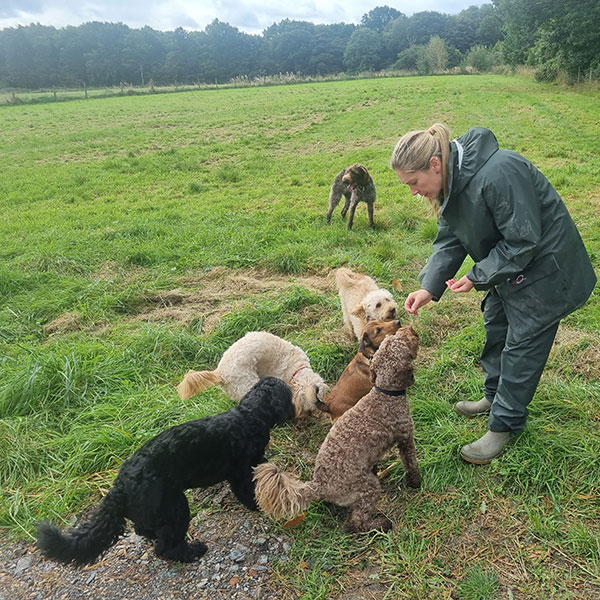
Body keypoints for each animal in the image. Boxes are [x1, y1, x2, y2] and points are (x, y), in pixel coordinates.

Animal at [36, 378, 294, 564]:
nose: (295, 410)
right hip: (176, 507)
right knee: (165, 548)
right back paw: (192, 552)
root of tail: (119, 487)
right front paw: (258, 505)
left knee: (143, 529)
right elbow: (247, 491)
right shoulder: (239, 472)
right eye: (290, 397)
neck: (248, 415)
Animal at [255, 326, 420, 532]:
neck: (385, 394)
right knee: (356, 522)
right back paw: (380, 524)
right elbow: (411, 464)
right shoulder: (406, 438)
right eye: (401, 341)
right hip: (367, 488)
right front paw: (416, 483)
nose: (409, 328)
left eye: (393, 337)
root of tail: (318, 485)